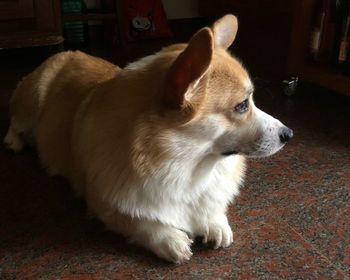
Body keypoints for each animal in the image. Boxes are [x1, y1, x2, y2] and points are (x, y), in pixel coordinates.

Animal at [4, 14, 292, 264]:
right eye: (242, 106)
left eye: (251, 100)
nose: (289, 134)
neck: (189, 162)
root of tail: (65, 52)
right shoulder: (105, 205)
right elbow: (140, 221)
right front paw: (170, 239)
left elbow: (212, 206)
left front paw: (214, 222)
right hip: (31, 101)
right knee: (15, 122)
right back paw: (14, 142)